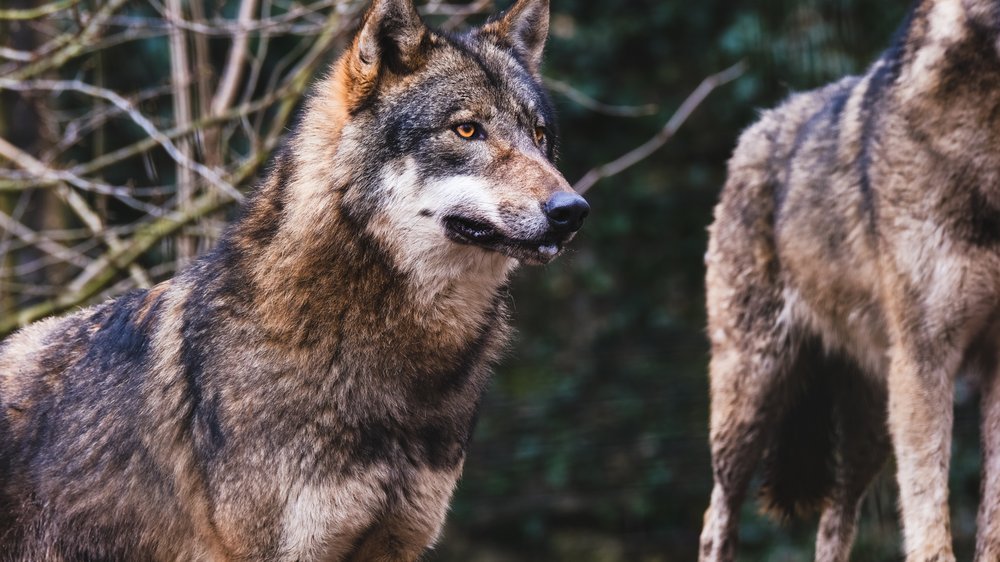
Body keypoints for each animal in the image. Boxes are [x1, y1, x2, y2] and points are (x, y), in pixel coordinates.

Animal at [700, 1, 1000, 560]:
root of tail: (754, 129)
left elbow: (990, 523)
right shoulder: (927, 356)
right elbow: (929, 521)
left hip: (872, 423)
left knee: (834, 519)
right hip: (751, 396)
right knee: (718, 519)